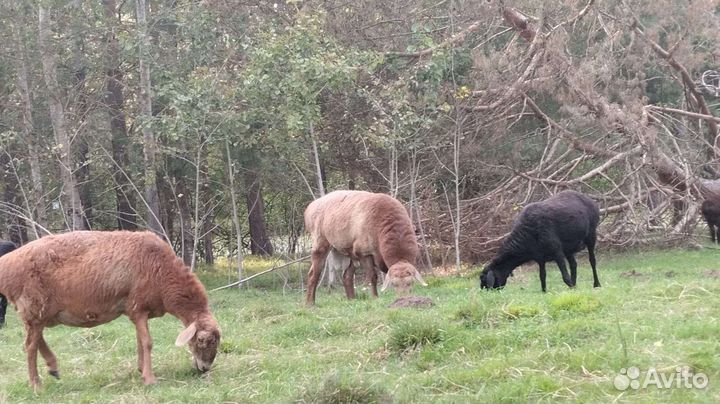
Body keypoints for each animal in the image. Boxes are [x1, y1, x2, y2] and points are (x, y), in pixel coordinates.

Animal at [0, 230, 221, 390]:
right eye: (202, 340)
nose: (204, 369)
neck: (164, 276)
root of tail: (7, 265)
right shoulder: (137, 306)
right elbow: (148, 342)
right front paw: (150, 379)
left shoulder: (137, 312)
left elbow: (140, 342)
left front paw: (141, 369)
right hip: (34, 305)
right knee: (30, 346)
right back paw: (36, 384)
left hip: (37, 311)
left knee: (36, 340)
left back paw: (53, 368)